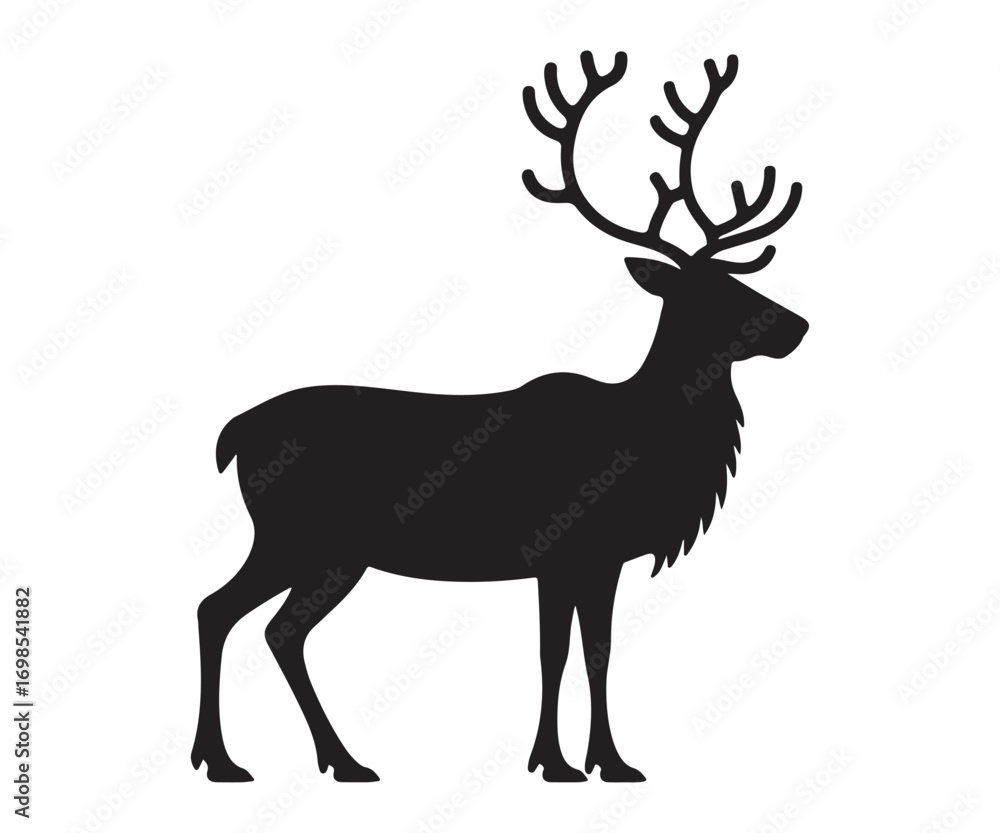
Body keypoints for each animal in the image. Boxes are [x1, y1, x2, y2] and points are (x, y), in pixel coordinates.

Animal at [193, 51, 808, 785]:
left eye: (741, 278)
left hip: (320, 549)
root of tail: (233, 435)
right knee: (229, 612)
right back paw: (238, 759)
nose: (798, 325)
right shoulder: (570, 547)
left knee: (265, 625)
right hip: (303, 538)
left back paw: (319, 759)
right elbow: (563, 652)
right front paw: (566, 762)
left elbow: (589, 650)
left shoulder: (593, 558)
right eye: (712, 291)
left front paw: (596, 760)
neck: (653, 441)